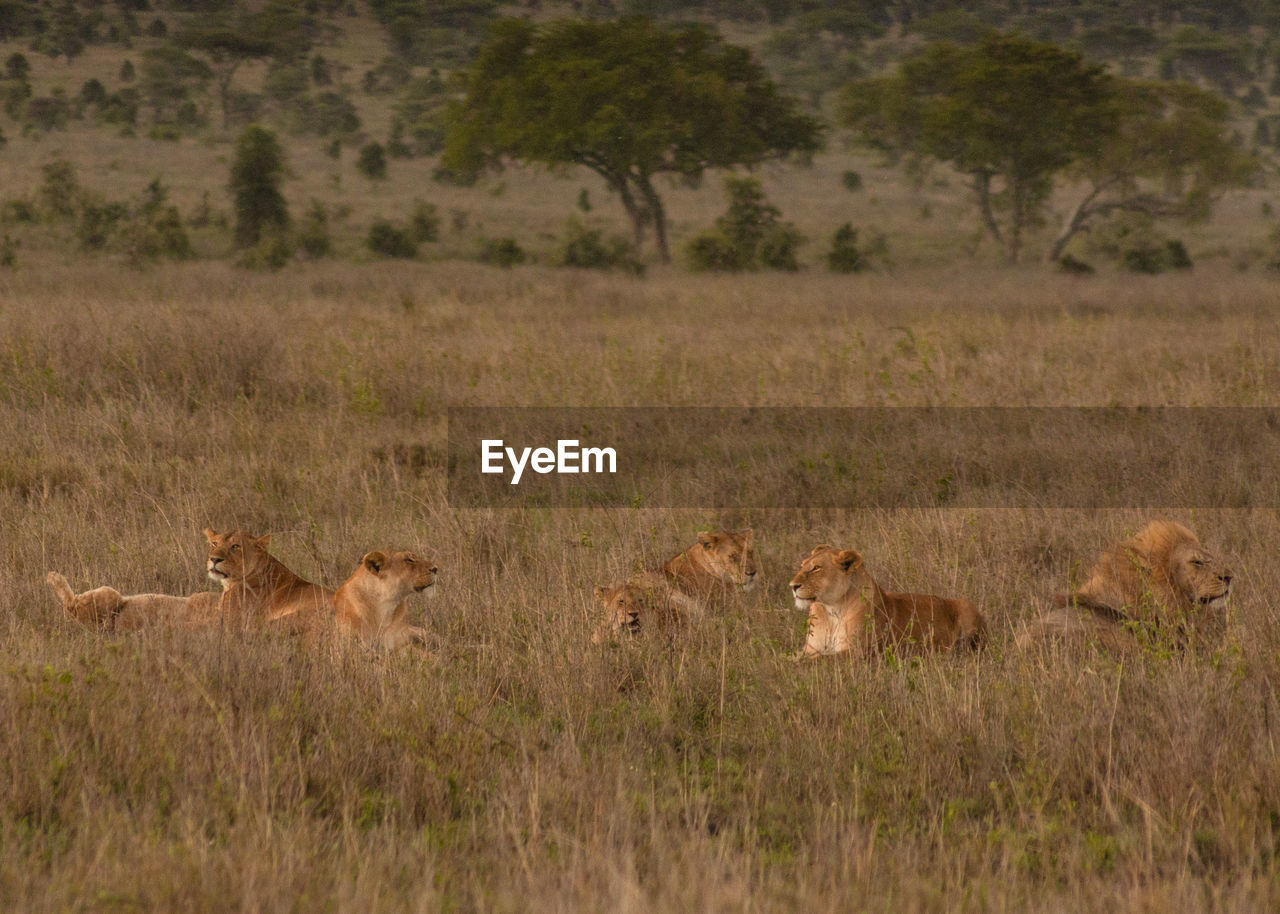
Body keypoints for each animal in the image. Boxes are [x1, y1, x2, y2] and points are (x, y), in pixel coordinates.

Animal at [788, 545, 988, 660]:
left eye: (816, 568)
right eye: (802, 566)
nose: (792, 586)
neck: (832, 610)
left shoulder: (858, 653)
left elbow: (819, 660)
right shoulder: (810, 648)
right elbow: (791, 655)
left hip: (966, 606)